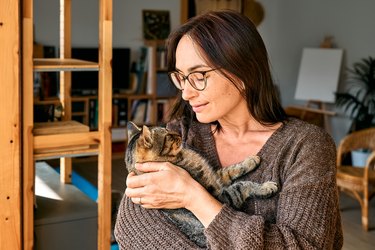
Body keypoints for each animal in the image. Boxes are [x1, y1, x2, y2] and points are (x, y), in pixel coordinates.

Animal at [125, 122, 278, 247]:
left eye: (168, 129)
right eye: (168, 136)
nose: (179, 134)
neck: (181, 157)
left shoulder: (215, 176)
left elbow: (232, 169)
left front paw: (251, 160)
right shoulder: (223, 197)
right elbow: (243, 185)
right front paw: (266, 187)